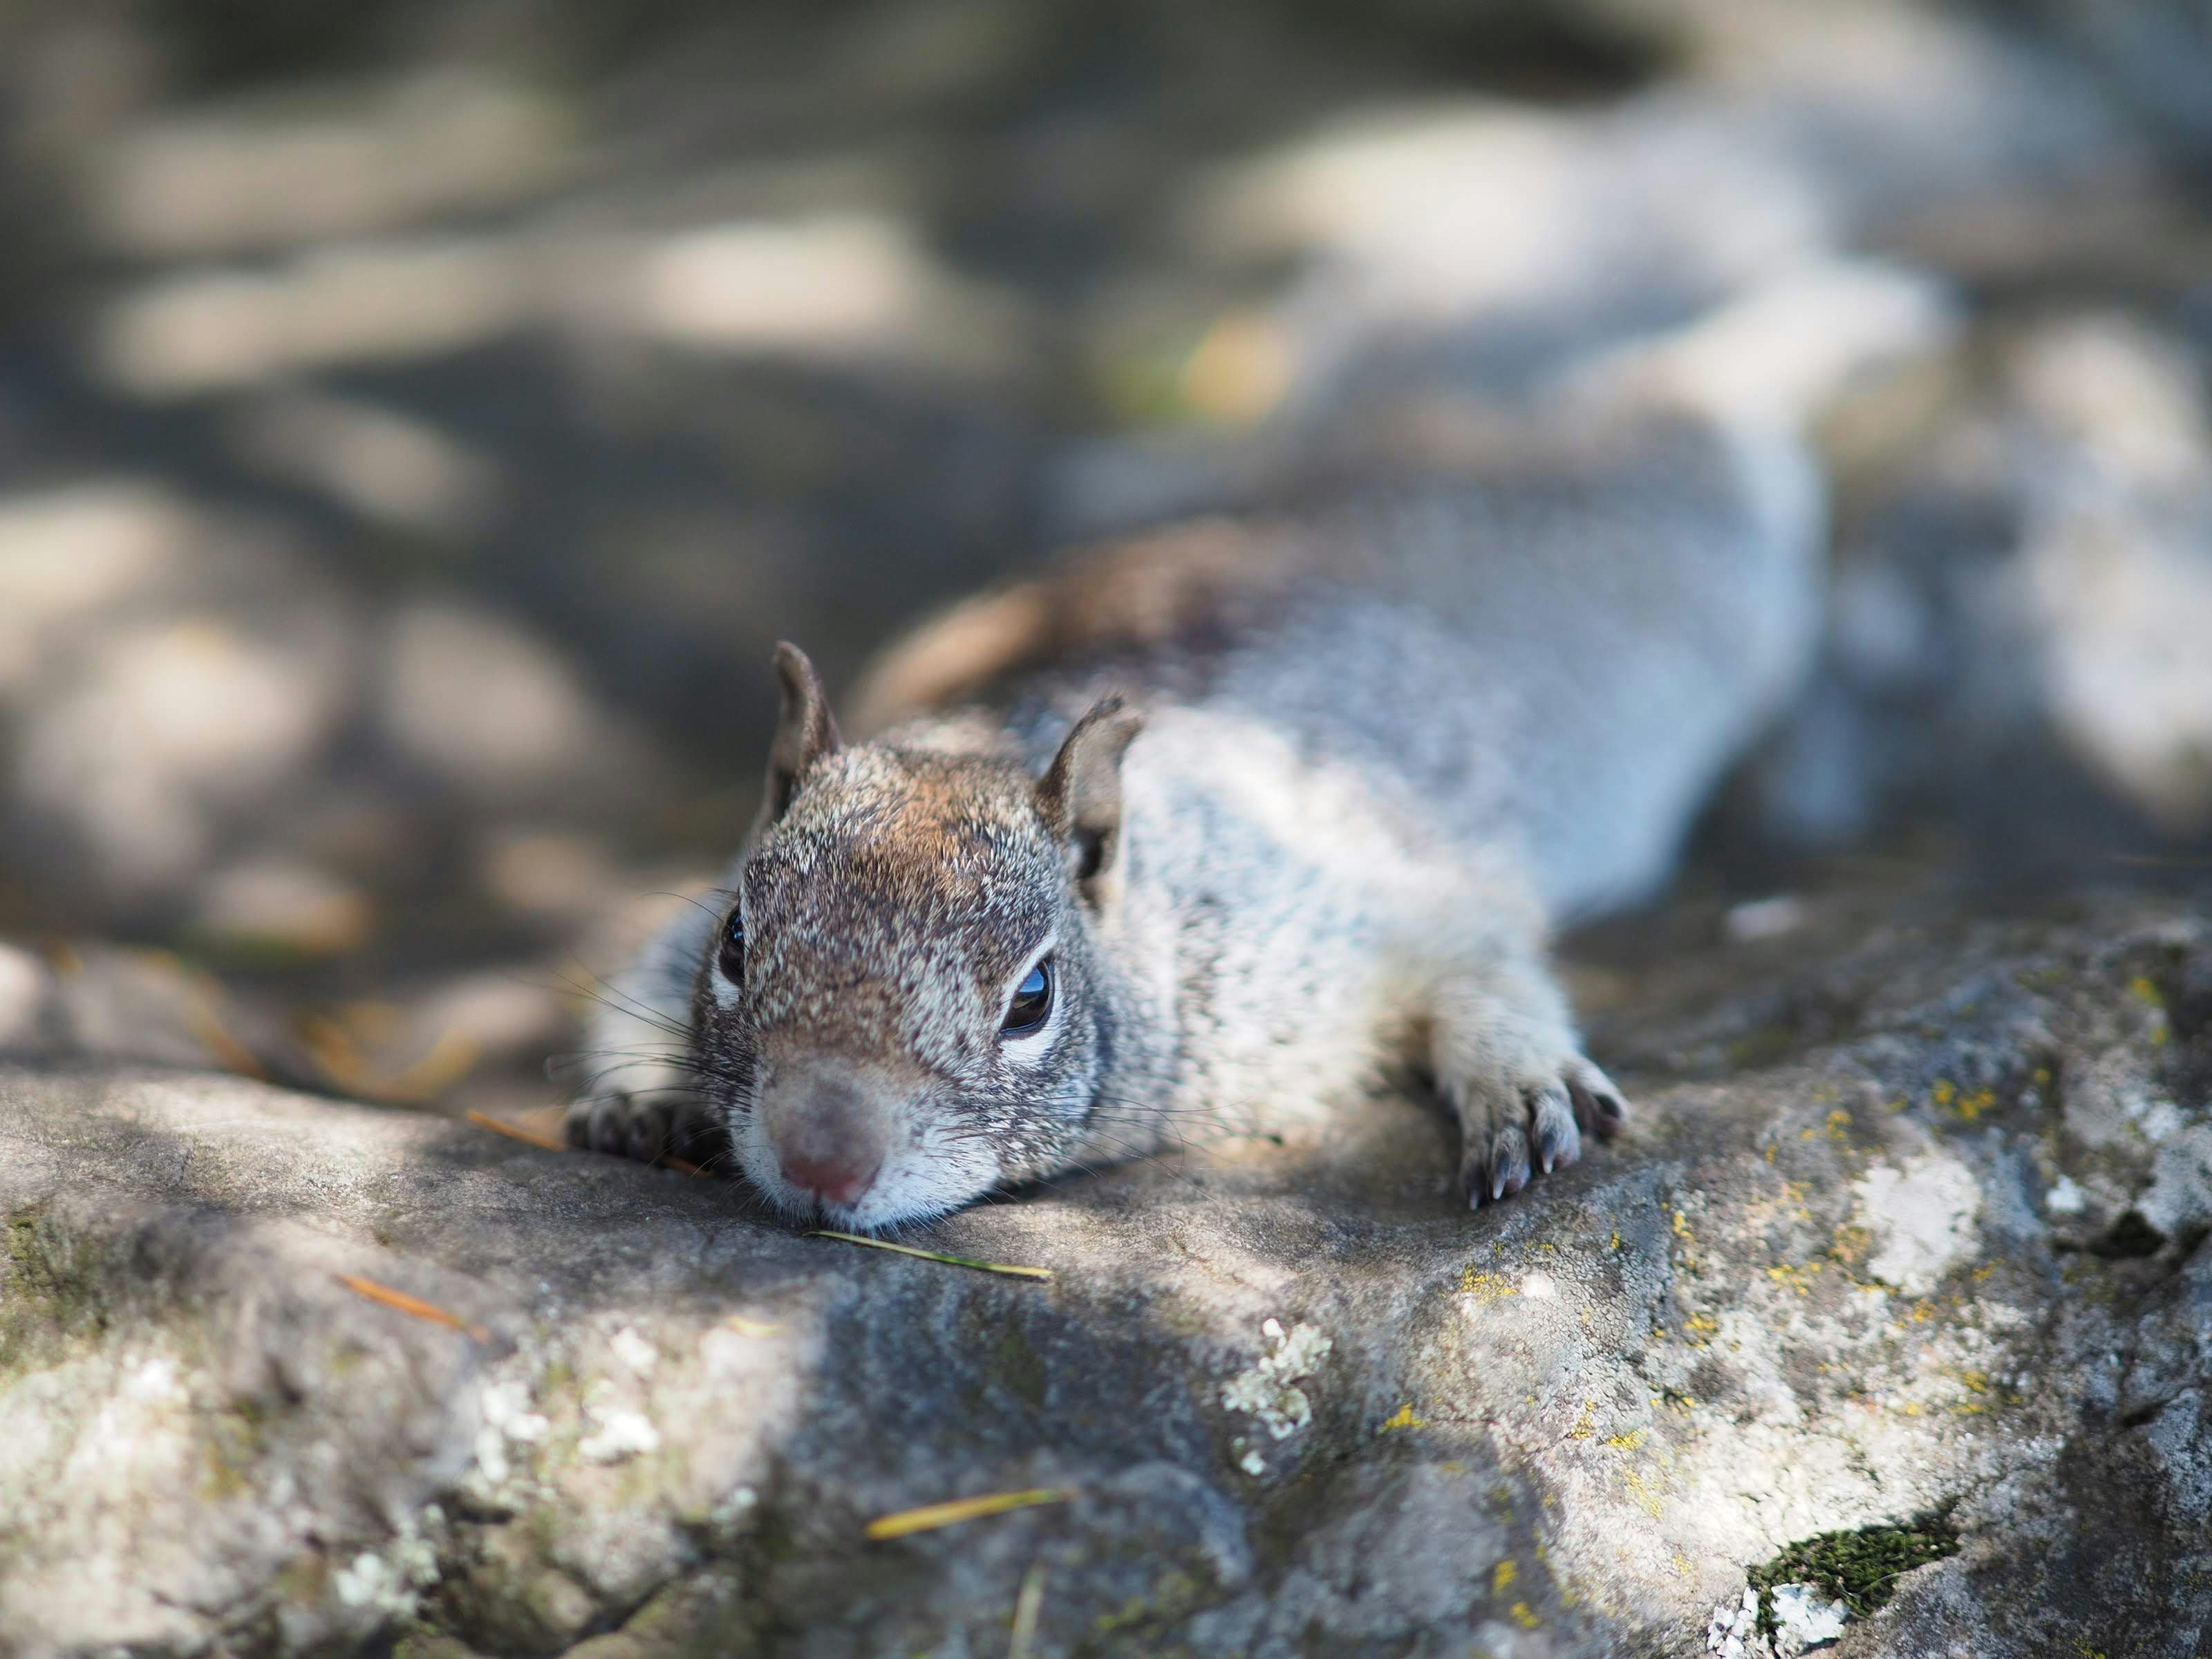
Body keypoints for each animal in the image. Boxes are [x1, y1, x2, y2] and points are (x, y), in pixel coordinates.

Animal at [565, 264, 1940, 1228]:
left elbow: (1481, 959)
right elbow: (631, 967)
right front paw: (635, 1096)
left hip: (1702, 534)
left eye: (1032, 1000)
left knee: (1697, 402)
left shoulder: (1361, 898)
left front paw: (1517, 1078)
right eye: (738, 945)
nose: (822, 1161)